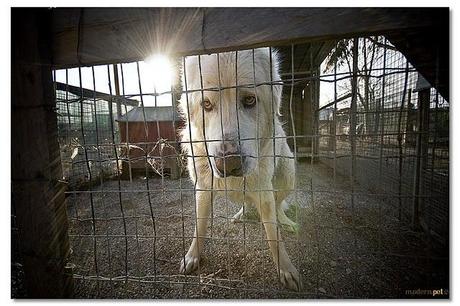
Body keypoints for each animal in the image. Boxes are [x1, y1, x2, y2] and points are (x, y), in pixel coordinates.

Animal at [178, 47, 300, 290]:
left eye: (250, 100)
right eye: (206, 104)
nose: (229, 163)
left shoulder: (264, 190)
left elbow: (274, 235)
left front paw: (286, 268)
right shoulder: (203, 189)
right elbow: (199, 226)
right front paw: (192, 256)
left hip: (287, 174)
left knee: (279, 204)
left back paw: (285, 221)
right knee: (248, 202)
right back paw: (242, 214)